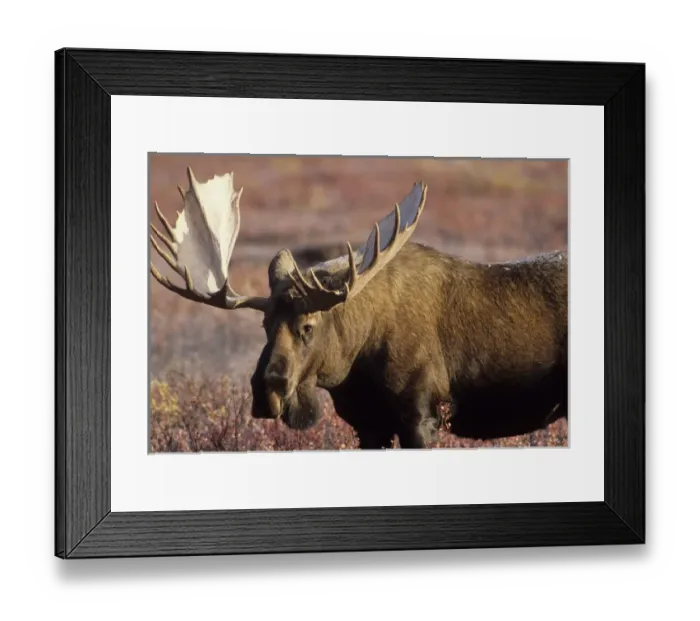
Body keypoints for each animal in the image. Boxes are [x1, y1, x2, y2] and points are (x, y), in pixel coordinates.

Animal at [150, 167, 568, 449]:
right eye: (264, 325)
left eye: (308, 325)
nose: (266, 390)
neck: (355, 360)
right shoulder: (368, 424)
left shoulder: (423, 414)